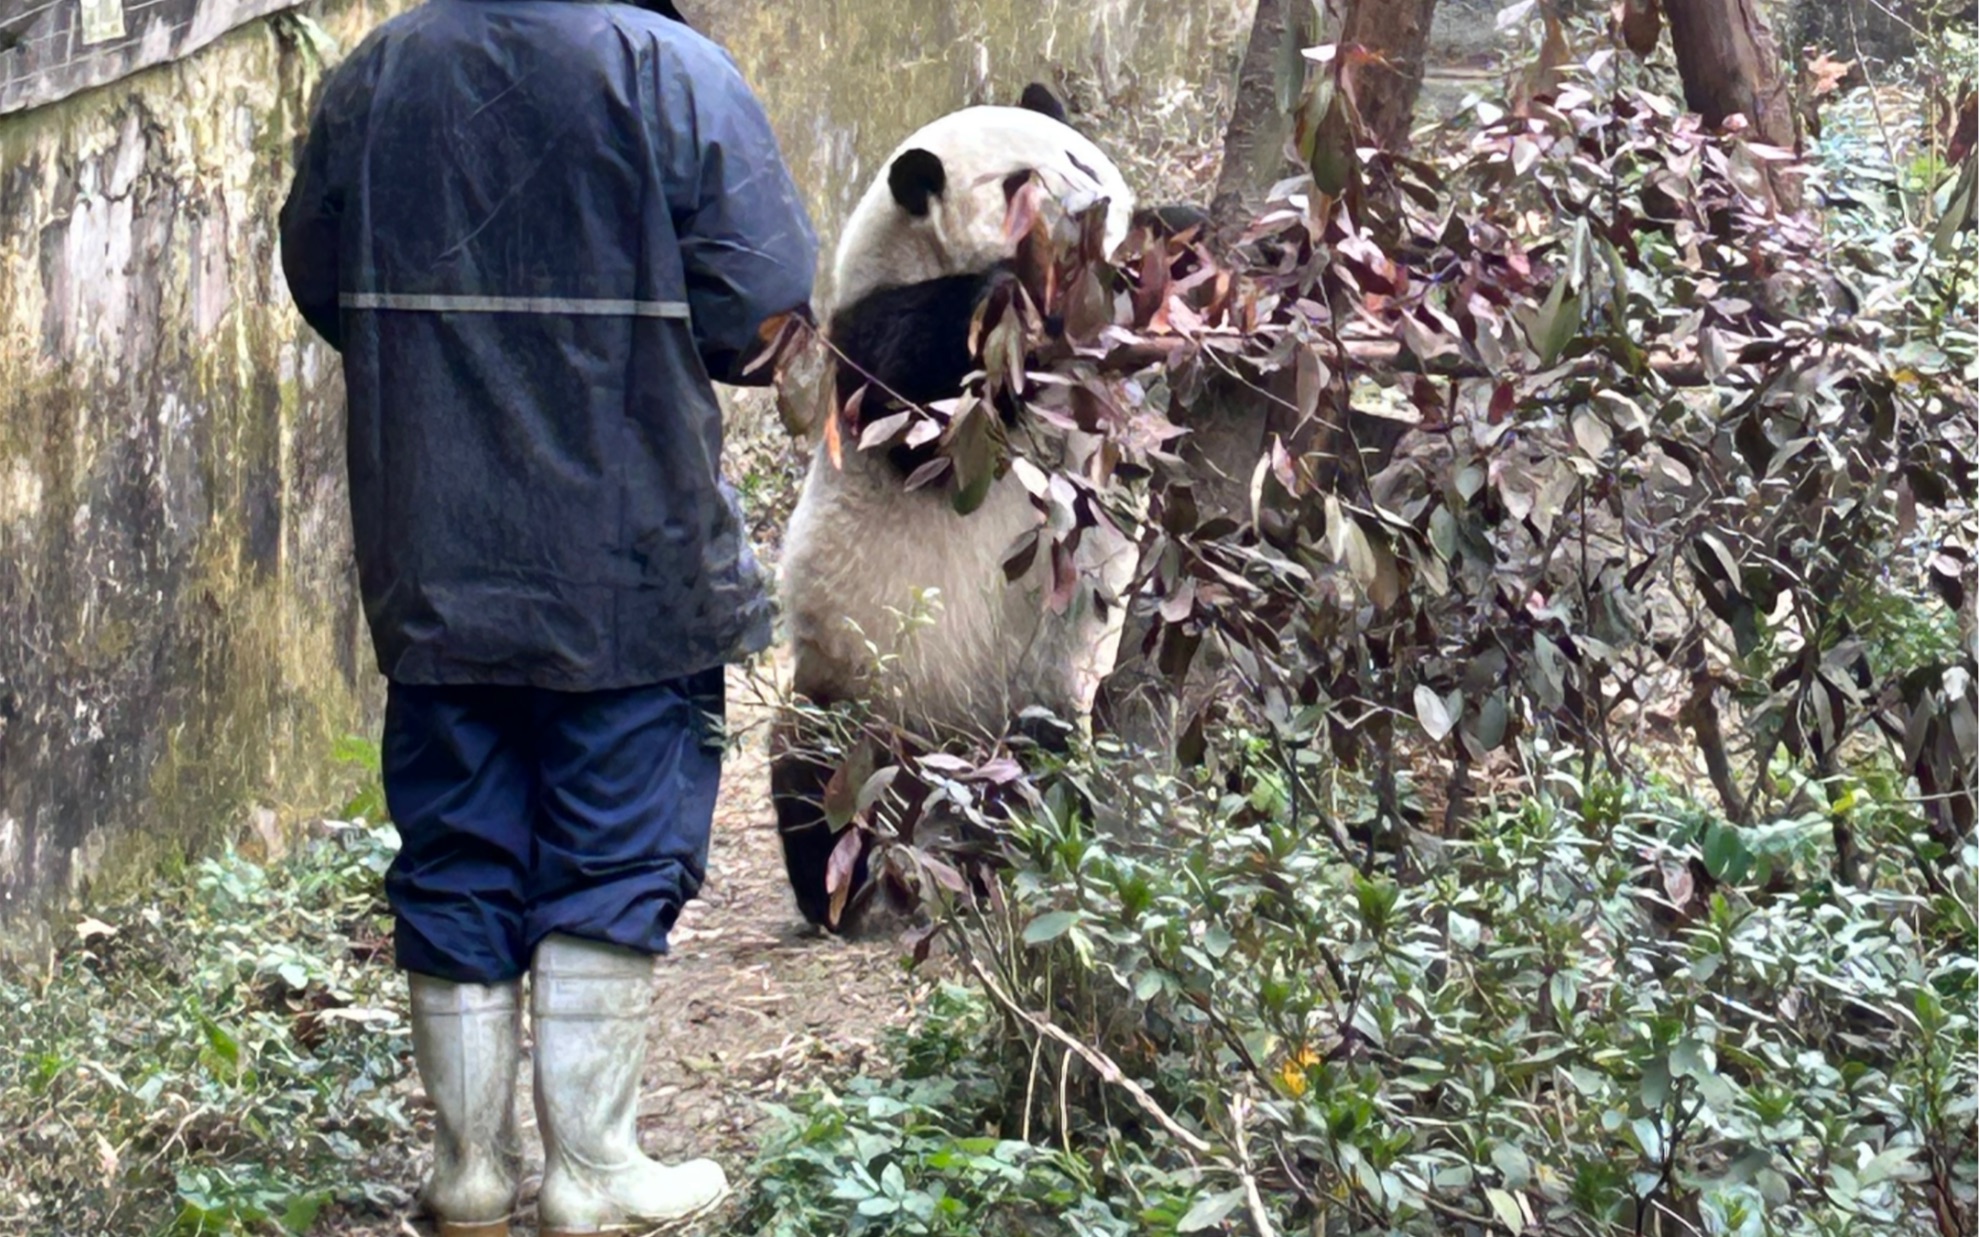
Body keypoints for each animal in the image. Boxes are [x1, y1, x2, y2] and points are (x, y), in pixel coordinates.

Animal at [767, 87, 1147, 930]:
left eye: (1082, 160)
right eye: (1018, 183)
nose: (1094, 213)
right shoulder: (865, 351)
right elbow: (929, 412)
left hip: (1029, 697)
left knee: (1044, 754)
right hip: (860, 685)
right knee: (811, 765)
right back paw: (838, 895)